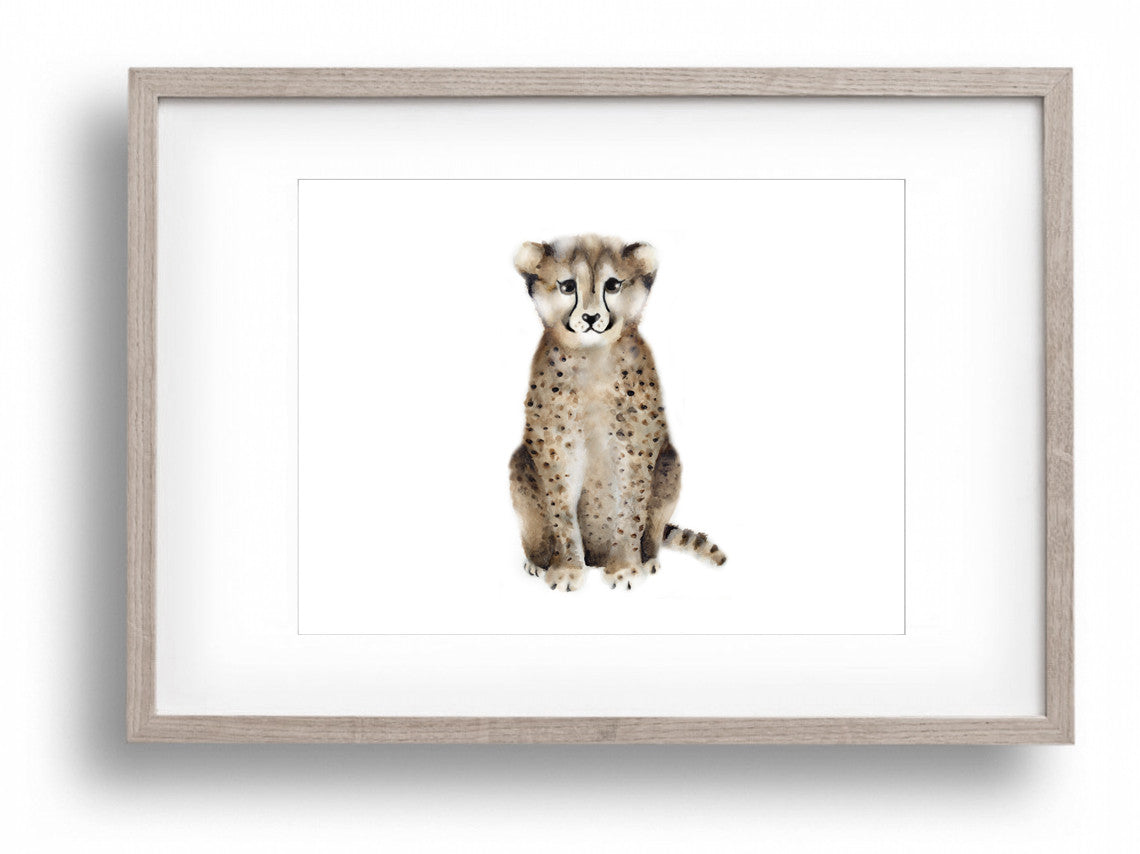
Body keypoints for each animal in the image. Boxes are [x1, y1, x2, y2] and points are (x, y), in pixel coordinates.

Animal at [509, 234, 726, 592]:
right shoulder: (555, 447)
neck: (591, 355)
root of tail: (595, 556)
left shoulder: (637, 445)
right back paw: (538, 563)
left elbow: (632, 507)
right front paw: (567, 570)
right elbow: (561, 512)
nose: (591, 318)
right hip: (519, 465)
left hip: (671, 463)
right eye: (567, 286)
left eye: (612, 285)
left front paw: (624, 567)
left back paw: (647, 559)